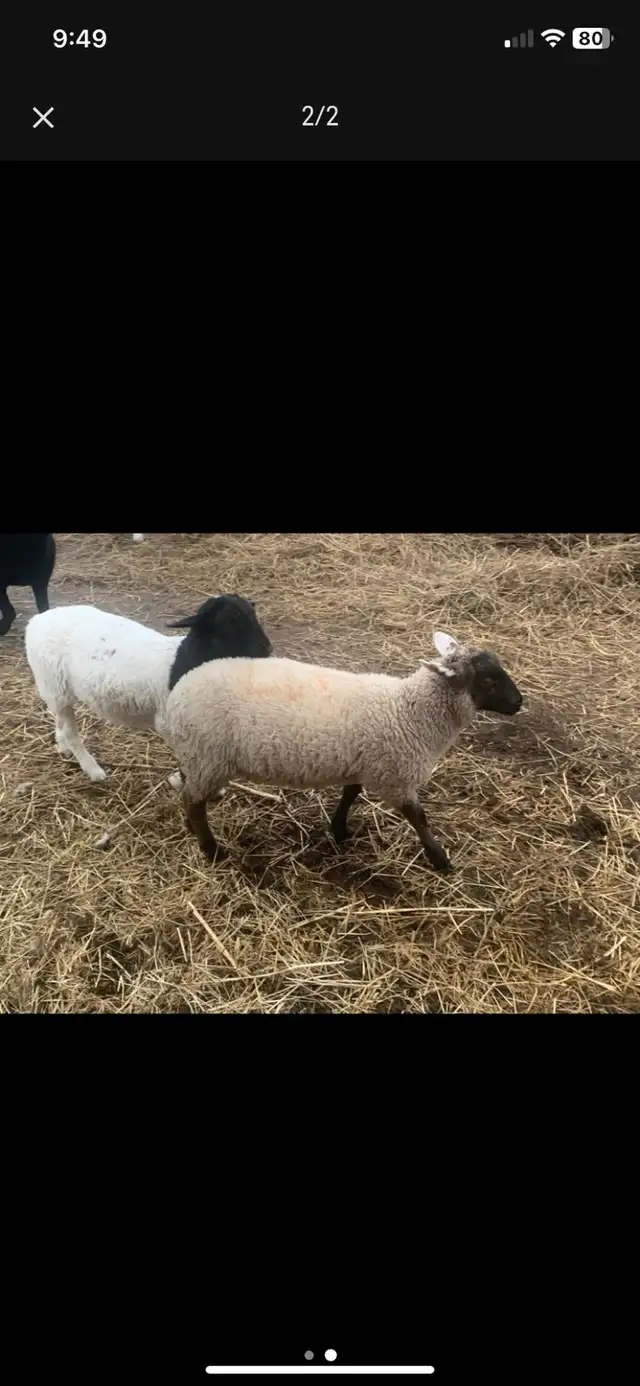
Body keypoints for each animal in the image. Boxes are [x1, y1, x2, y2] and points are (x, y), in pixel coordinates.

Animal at [25, 594, 272, 785]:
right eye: (231, 621)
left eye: (253, 613)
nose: (268, 649)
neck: (185, 659)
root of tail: (37, 620)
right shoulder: (169, 724)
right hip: (54, 683)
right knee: (70, 729)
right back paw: (93, 770)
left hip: (55, 688)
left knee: (58, 717)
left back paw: (63, 747)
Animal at [160, 631, 523, 873]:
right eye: (488, 680)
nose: (519, 703)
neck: (409, 710)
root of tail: (179, 692)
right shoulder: (396, 777)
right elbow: (418, 817)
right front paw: (440, 859)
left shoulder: (364, 763)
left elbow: (351, 793)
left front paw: (339, 830)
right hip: (209, 757)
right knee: (193, 802)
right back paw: (211, 850)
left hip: (197, 758)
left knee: (189, 794)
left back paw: (194, 831)